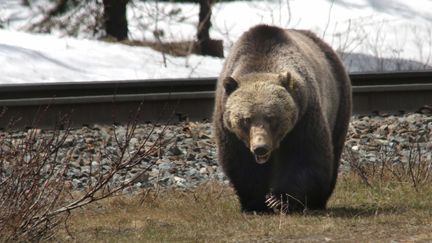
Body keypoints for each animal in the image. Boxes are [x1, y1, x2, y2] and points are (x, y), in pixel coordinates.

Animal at [212, 24, 352, 213]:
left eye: (271, 117)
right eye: (246, 119)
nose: (260, 148)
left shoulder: (303, 116)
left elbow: (304, 156)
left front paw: (279, 200)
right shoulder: (227, 127)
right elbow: (240, 163)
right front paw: (256, 202)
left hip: (339, 103)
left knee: (333, 150)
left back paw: (318, 201)